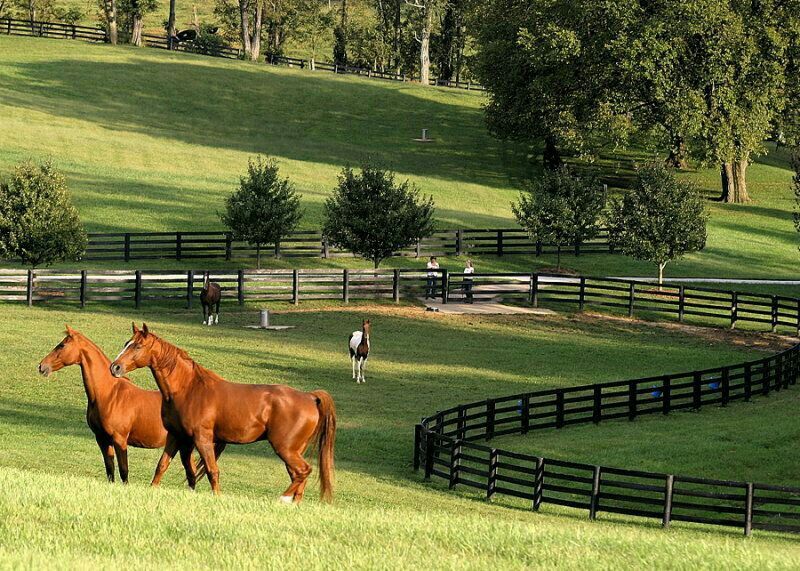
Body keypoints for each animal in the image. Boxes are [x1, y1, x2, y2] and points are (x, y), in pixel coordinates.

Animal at [110, 323, 336, 503]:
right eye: (126, 343)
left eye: (137, 346)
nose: (115, 367)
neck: (189, 388)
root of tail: (309, 397)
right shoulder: (176, 436)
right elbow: (162, 466)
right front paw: (152, 489)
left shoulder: (202, 439)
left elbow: (212, 471)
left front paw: (217, 497)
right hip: (294, 450)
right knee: (299, 476)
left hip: (285, 448)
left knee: (303, 471)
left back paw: (282, 499)